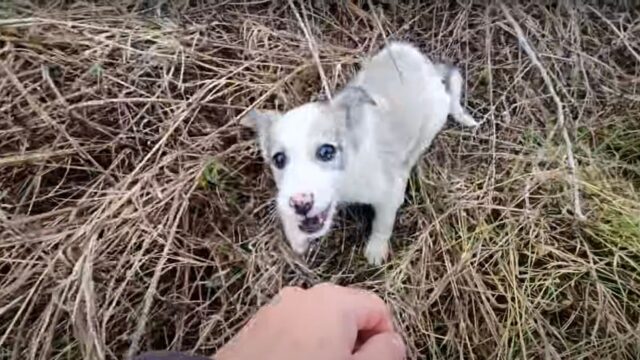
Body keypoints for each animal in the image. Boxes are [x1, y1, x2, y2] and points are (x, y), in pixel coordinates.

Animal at [242, 42, 478, 266]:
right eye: (279, 159)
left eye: (326, 152)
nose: (301, 204)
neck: (347, 181)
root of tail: (430, 70)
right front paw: (296, 238)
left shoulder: (390, 193)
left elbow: (383, 223)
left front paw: (376, 251)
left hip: (434, 119)